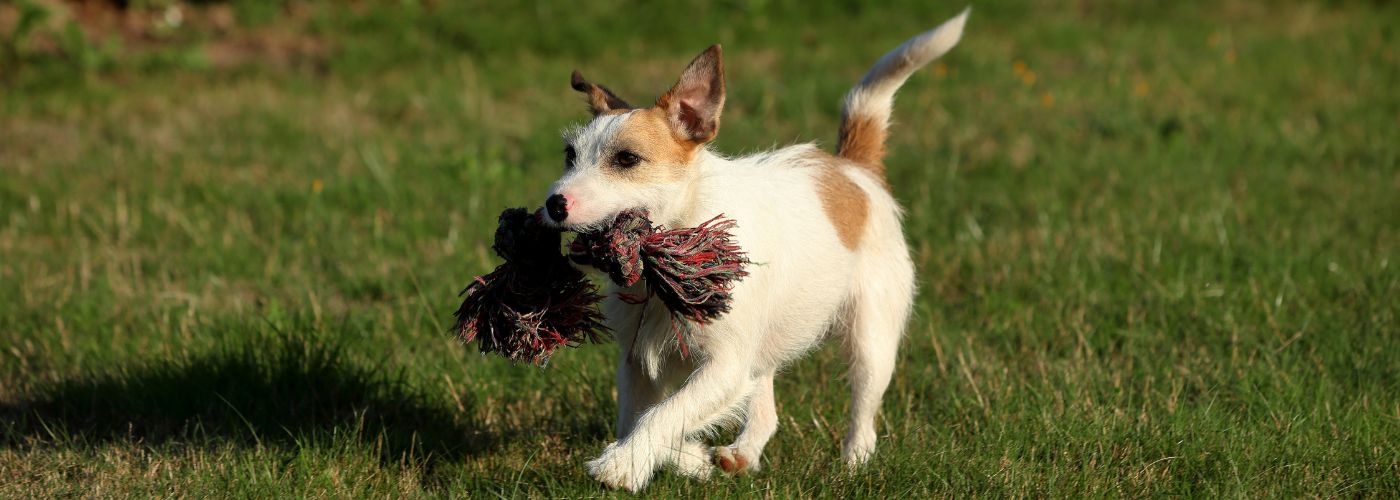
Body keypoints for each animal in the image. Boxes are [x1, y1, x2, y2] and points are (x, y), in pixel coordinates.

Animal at [540, 8, 968, 490]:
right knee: (765, 410)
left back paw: (855, 461)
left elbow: (663, 416)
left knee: (864, 406)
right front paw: (687, 459)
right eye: (570, 155)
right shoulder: (639, 366)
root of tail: (854, 168)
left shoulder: (724, 366)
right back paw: (742, 454)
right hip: (763, 347)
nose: (554, 203)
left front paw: (621, 466)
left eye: (627, 159)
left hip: (871, 338)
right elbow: (641, 418)